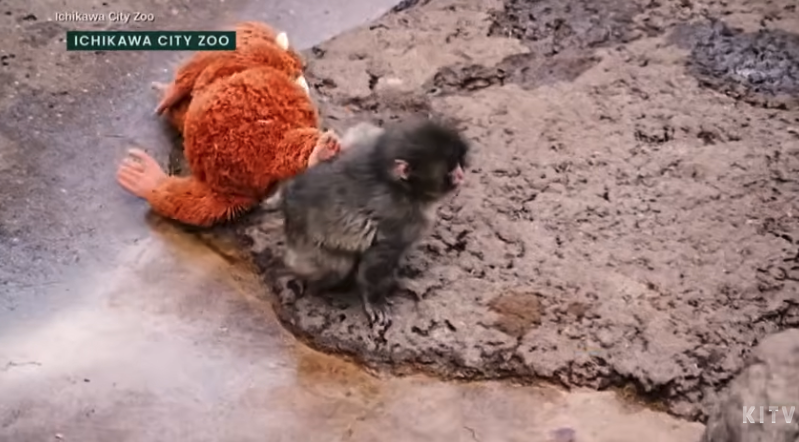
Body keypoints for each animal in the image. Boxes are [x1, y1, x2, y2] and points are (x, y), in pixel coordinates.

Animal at [279, 119, 470, 329]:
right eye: (450, 169)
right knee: (336, 266)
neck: (402, 187)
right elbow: (377, 260)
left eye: (458, 164)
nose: (461, 175)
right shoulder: (402, 219)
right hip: (305, 248)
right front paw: (375, 300)